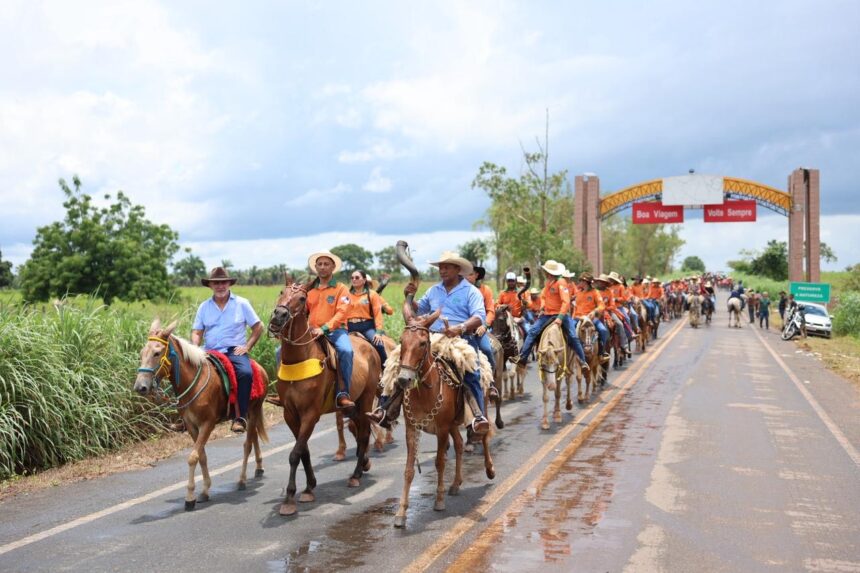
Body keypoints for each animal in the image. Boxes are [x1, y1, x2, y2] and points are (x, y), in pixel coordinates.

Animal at [133, 318, 268, 510]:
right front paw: (204, 491)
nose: (140, 387)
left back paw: (242, 480)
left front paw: (190, 497)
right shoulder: (191, 426)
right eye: (142, 352)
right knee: (254, 436)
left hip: (254, 410)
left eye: (157, 353)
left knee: (247, 444)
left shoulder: (207, 424)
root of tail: (260, 369)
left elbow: (193, 457)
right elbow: (202, 456)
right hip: (250, 414)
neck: (192, 384)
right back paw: (258, 468)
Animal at [266, 278, 380, 520]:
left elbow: (295, 453)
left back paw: (355, 475)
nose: (278, 316)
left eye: (302, 298)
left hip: (366, 398)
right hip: (351, 405)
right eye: (281, 292)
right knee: (357, 429)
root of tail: (369, 346)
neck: (299, 358)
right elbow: (304, 451)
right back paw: (363, 464)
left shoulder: (310, 414)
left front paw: (289, 499)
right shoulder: (290, 414)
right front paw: (309, 487)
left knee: (364, 432)